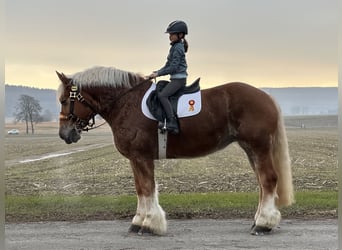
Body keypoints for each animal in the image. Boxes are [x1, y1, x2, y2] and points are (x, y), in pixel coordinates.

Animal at [56, 65, 294, 235]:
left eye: (65, 100)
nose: (64, 134)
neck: (126, 102)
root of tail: (266, 97)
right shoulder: (135, 159)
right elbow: (140, 188)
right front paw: (138, 221)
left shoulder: (141, 157)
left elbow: (147, 187)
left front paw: (150, 224)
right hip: (250, 149)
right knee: (262, 183)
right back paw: (258, 221)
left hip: (259, 147)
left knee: (268, 180)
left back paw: (263, 224)